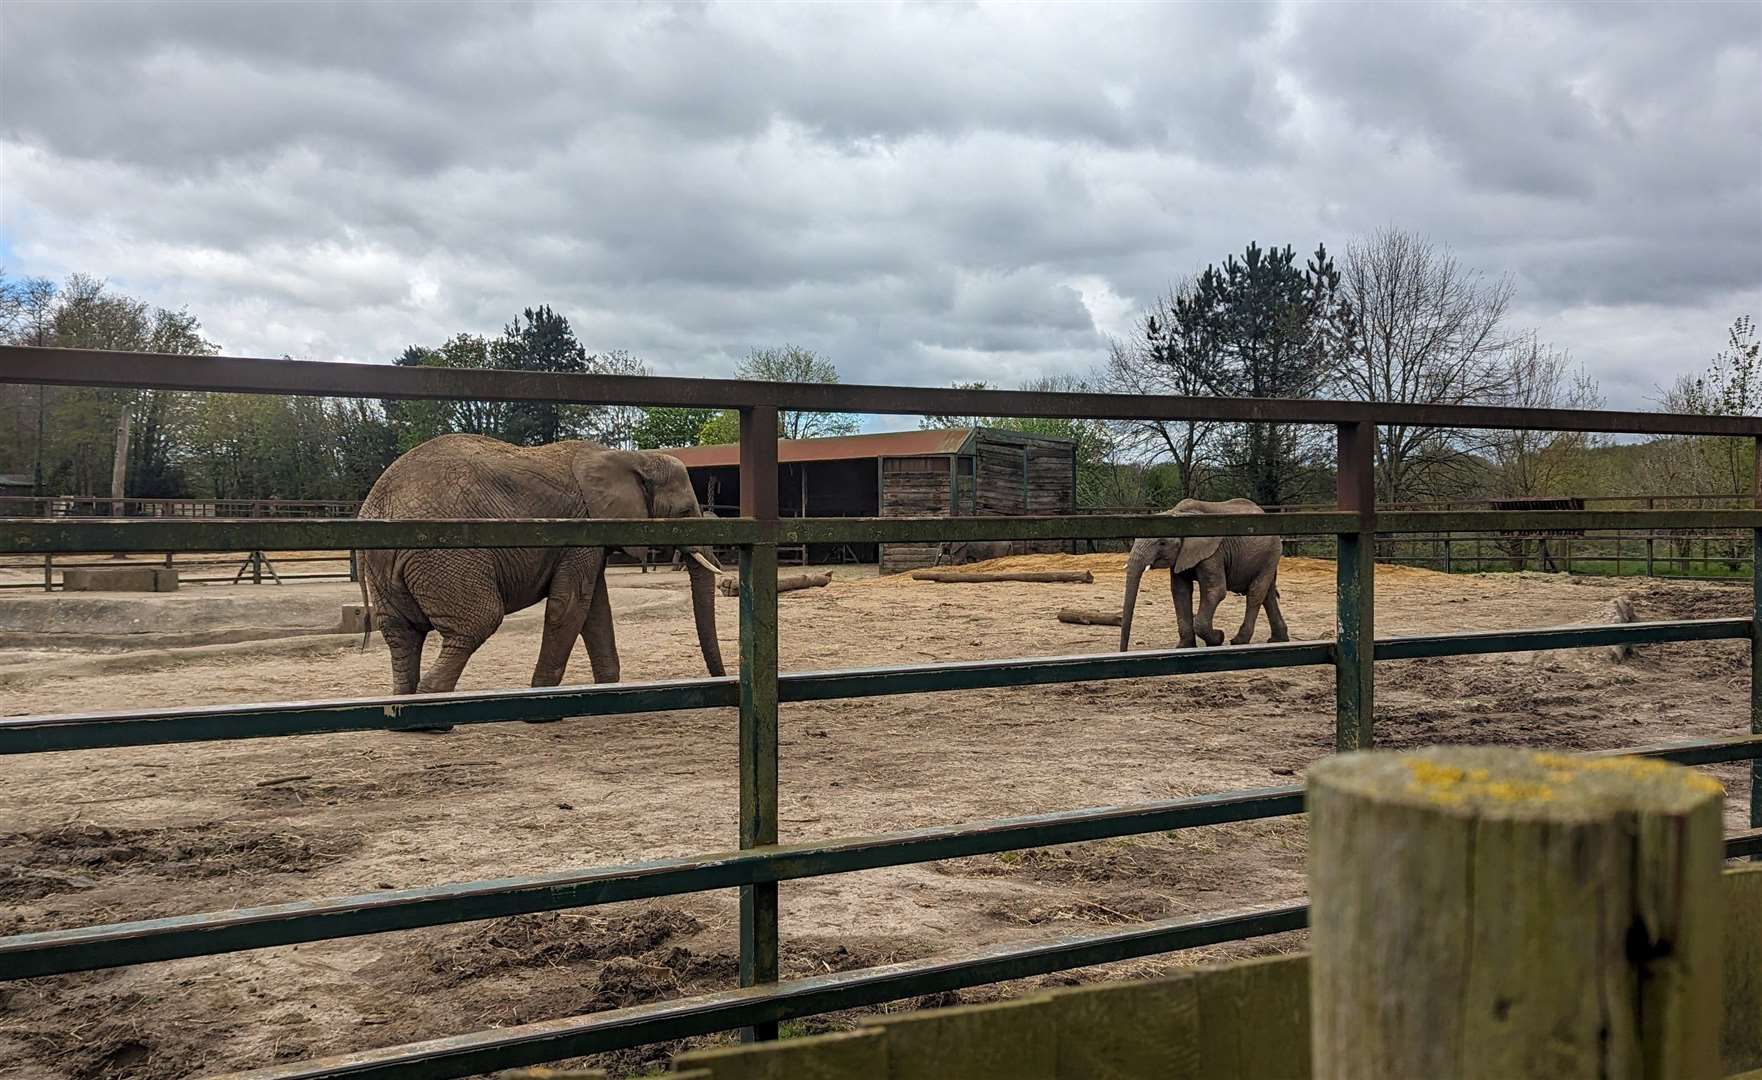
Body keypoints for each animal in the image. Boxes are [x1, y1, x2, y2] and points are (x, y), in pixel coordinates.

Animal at [355, 429, 722, 708]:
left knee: (401, 632)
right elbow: (570, 606)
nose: (720, 679)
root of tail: (378, 503)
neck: (631, 458)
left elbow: (594, 610)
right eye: (686, 513)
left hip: (386, 566)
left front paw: (609, 694)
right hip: (444, 556)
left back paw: (403, 712)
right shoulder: (581, 531)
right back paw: (433, 715)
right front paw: (543, 708)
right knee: (476, 623)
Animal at [1120, 496, 1289, 648]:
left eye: (1162, 543)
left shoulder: (1213, 553)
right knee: (1268, 594)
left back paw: (1238, 641)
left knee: (1256, 592)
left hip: (1271, 553)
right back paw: (1278, 640)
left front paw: (1218, 638)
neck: (1178, 513)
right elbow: (1180, 591)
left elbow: (1215, 591)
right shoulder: (1182, 556)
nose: (1123, 650)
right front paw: (1184, 647)